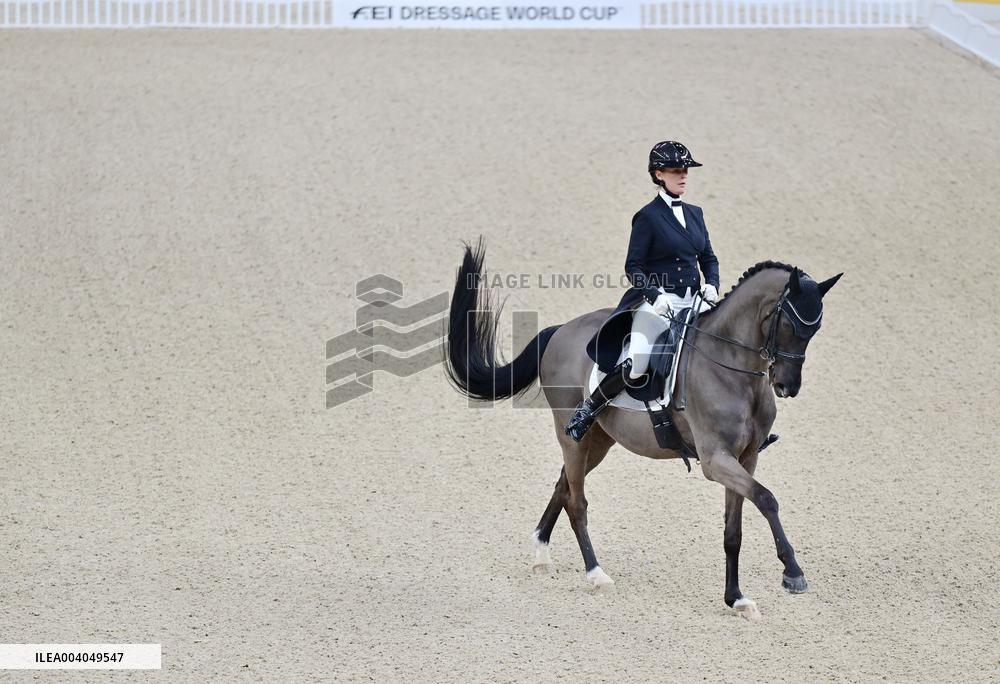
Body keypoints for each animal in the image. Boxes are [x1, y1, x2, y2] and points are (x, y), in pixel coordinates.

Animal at [443, 239, 842, 620]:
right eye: (790, 325)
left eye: (815, 329)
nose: (787, 386)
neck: (732, 368)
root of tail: (560, 331)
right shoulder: (717, 461)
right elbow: (767, 499)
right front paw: (792, 572)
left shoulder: (746, 458)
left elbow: (734, 531)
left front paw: (737, 599)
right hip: (574, 436)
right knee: (576, 501)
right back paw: (596, 574)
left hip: (597, 440)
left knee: (562, 487)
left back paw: (541, 556)